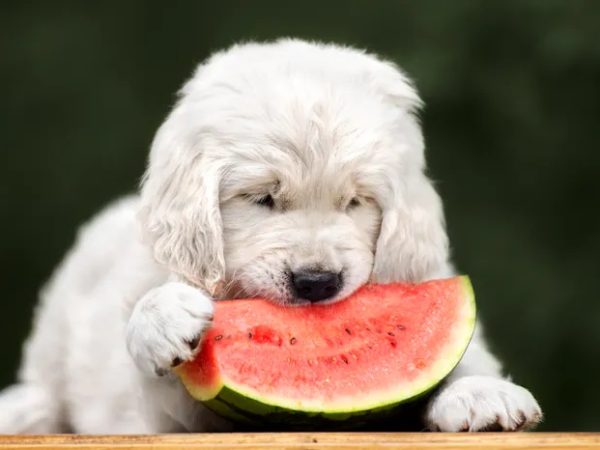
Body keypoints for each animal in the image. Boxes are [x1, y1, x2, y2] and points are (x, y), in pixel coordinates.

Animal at [0, 38, 544, 432]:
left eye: (355, 202)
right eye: (262, 198)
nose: (317, 283)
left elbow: (466, 359)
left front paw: (480, 393)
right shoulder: (171, 417)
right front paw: (162, 317)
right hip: (60, 316)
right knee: (45, 384)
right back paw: (25, 410)